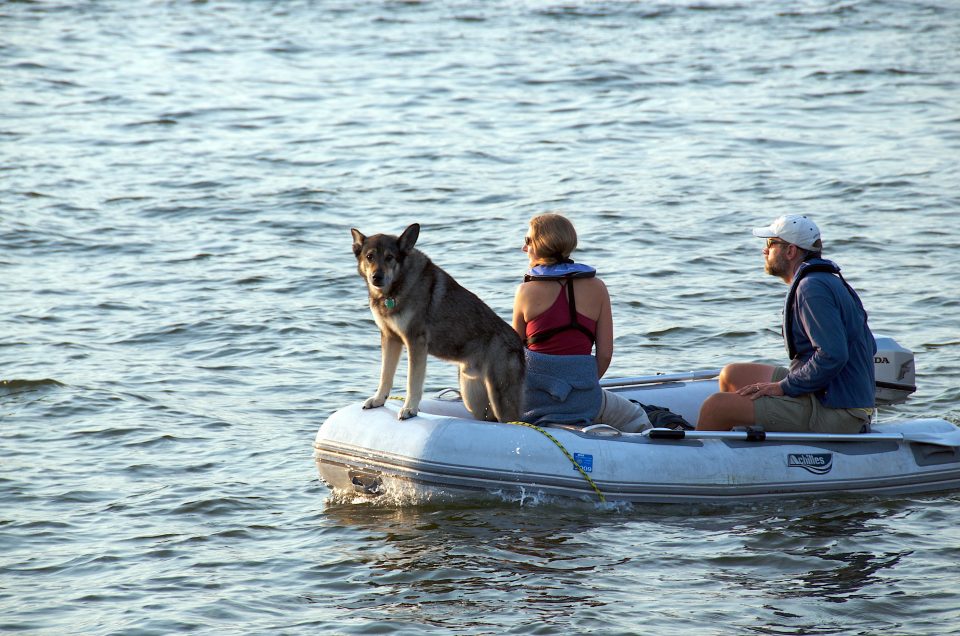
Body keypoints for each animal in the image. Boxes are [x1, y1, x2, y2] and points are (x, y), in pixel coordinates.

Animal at [350, 224, 524, 422]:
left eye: (389, 257)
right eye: (369, 257)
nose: (376, 277)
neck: (393, 290)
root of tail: (519, 344)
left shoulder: (415, 342)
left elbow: (412, 381)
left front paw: (409, 409)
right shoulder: (390, 338)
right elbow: (385, 375)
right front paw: (378, 400)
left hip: (501, 399)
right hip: (473, 399)